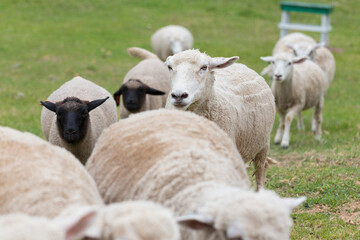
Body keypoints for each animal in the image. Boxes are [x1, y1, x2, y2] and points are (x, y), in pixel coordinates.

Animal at [164, 49, 276, 190]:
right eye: (169, 67)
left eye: (204, 67)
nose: (179, 95)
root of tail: (240, 65)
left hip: (263, 144)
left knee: (260, 170)